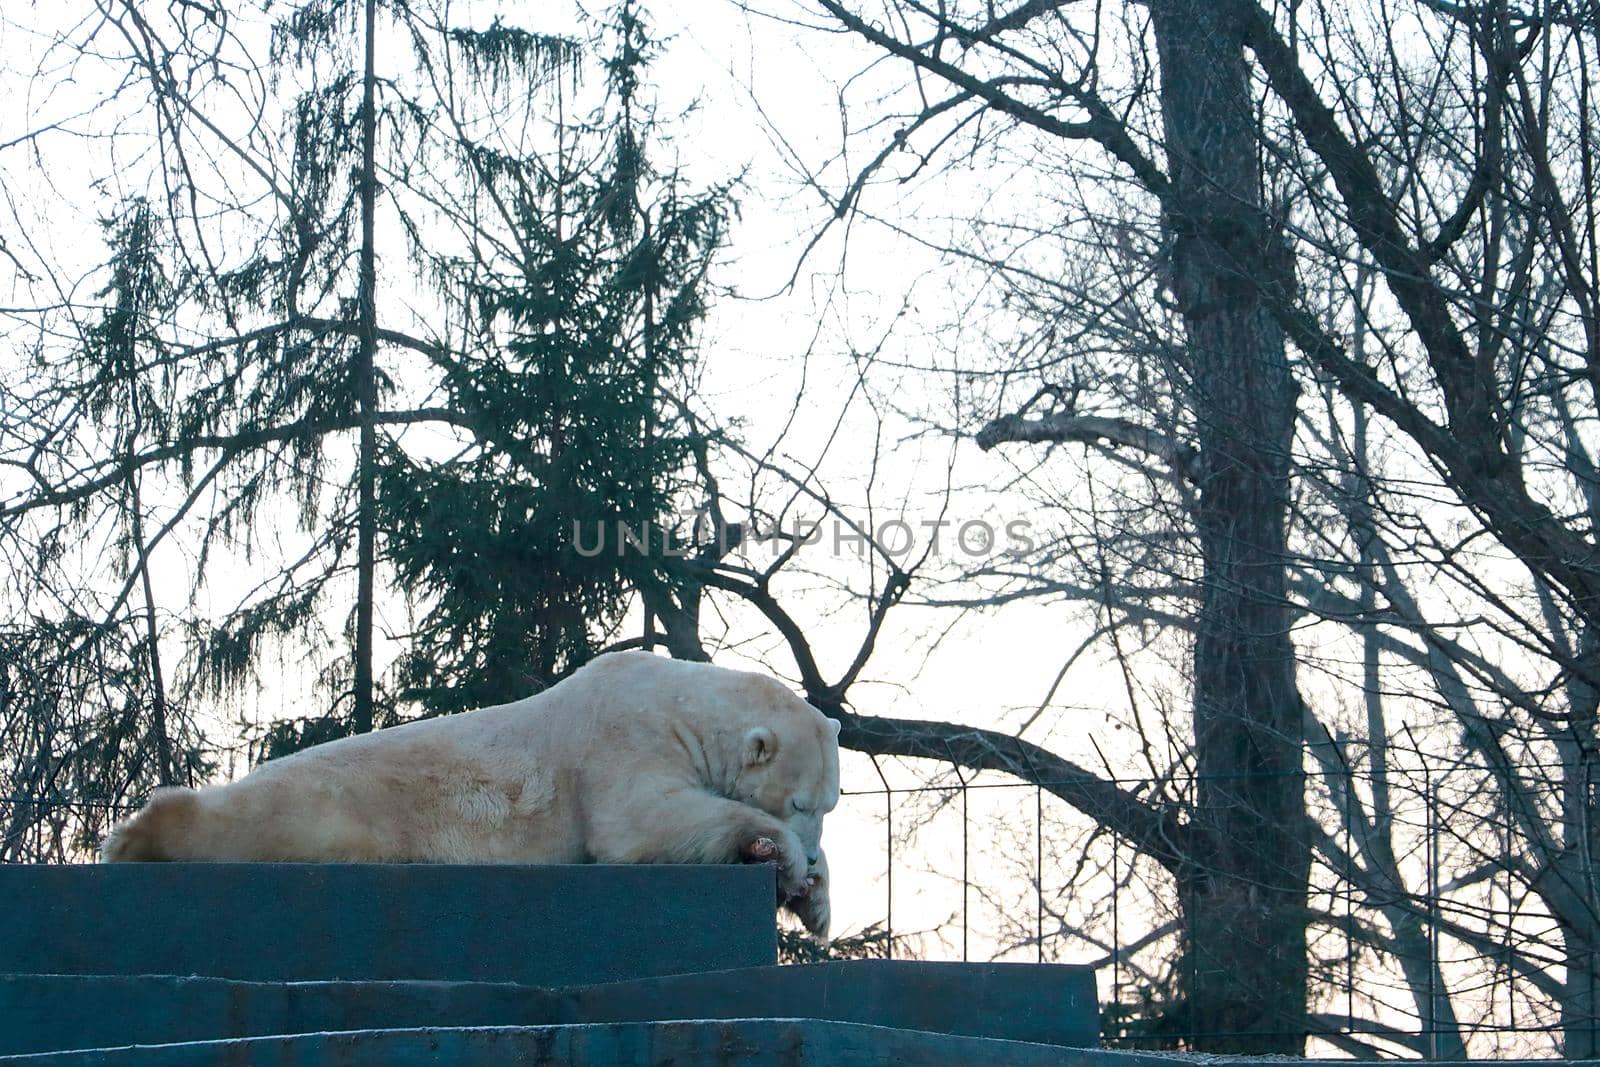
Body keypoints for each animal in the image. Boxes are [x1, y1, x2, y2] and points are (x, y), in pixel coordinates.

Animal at [103, 652, 838, 934]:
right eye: (802, 804)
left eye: (831, 805)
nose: (810, 848)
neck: (678, 697)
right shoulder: (621, 737)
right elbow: (638, 824)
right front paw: (786, 860)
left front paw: (815, 898)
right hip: (333, 804)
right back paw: (140, 832)